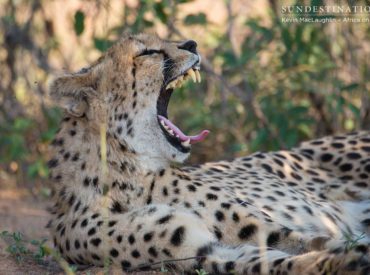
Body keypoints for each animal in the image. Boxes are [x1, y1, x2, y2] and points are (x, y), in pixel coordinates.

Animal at [48, 33, 370, 274]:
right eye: (148, 52)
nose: (192, 44)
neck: (124, 175)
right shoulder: (201, 250)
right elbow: (271, 262)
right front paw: (340, 262)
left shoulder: (263, 227)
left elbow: (318, 240)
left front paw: (347, 253)